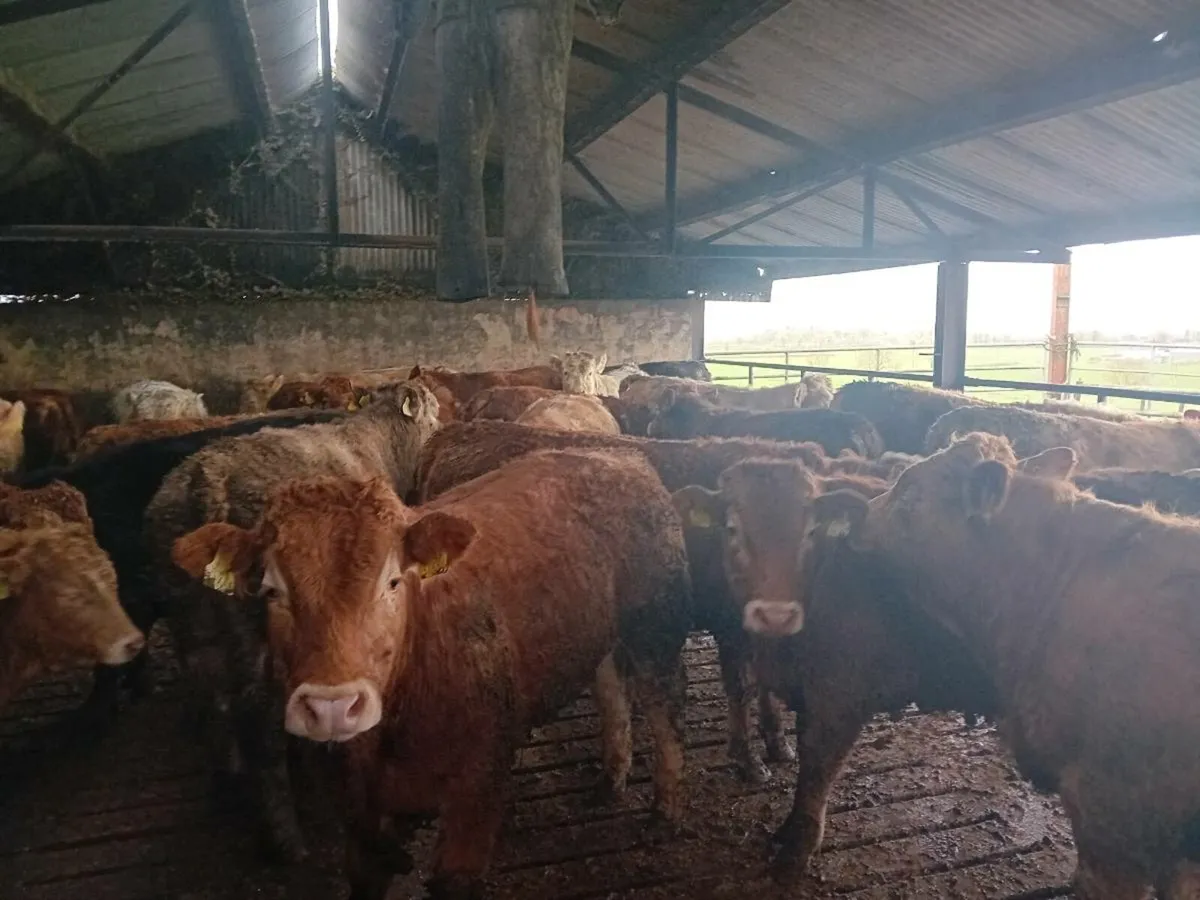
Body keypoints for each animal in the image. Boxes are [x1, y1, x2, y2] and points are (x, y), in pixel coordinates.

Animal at [143, 382, 439, 864]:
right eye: (433, 412)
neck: (379, 441)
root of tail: (206, 481)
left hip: (193, 618)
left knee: (213, 701)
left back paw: (229, 784)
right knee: (261, 724)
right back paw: (286, 837)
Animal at [169, 449, 692, 899]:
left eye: (393, 582)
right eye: (271, 590)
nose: (332, 707)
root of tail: (616, 455)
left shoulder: (477, 792)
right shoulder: (357, 819)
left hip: (655, 624)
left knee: (664, 708)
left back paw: (664, 807)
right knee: (611, 691)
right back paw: (610, 779)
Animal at [670, 460, 996, 880]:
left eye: (811, 531)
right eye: (731, 529)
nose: (775, 615)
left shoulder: (840, 697)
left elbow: (817, 769)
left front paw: (795, 853)